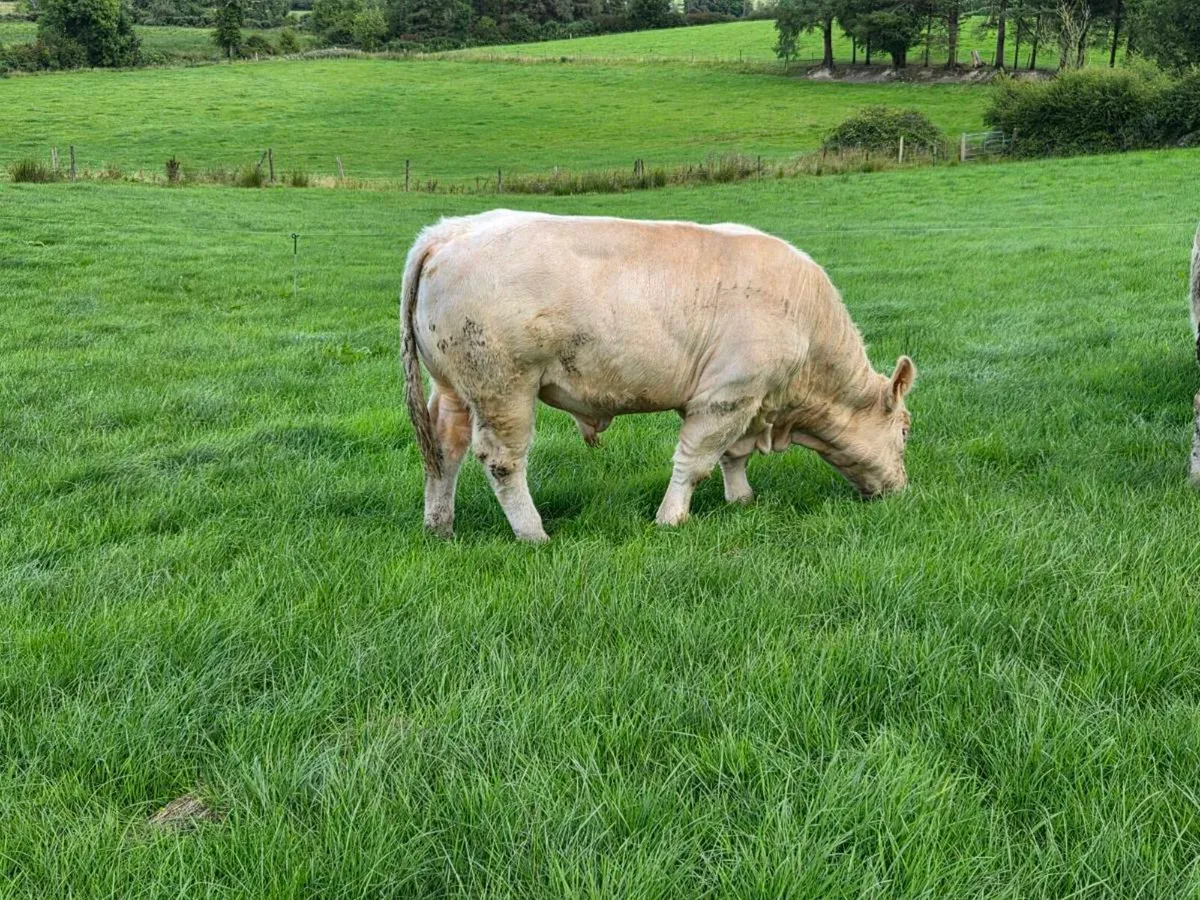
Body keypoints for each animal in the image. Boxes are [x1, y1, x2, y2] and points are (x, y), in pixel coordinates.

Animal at [401, 210, 916, 542]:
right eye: (906, 432)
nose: (901, 489)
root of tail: (448, 231)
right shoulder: (726, 395)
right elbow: (696, 461)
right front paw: (671, 518)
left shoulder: (747, 402)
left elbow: (734, 457)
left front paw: (742, 500)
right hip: (503, 386)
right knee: (502, 461)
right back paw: (534, 533)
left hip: (453, 387)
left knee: (445, 450)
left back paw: (440, 527)